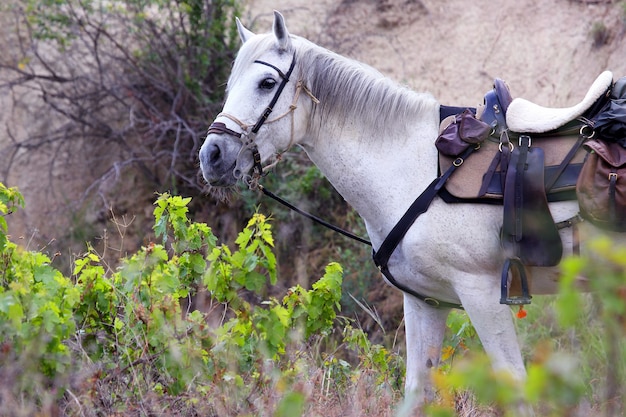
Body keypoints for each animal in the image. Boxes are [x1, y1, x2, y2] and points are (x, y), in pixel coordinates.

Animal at [200, 11, 620, 408]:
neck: (414, 168)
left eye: (266, 84)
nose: (211, 156)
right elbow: (416, 391)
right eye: (230, 85)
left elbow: (515, 387)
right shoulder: (426, 302)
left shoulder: (482, 295)